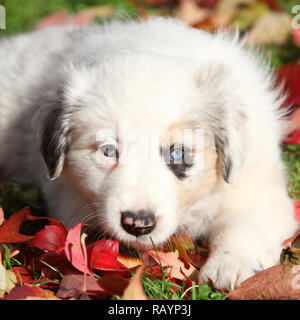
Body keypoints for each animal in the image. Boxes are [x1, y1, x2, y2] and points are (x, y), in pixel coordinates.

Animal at [0, 17, 298, 290]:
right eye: (109, 151)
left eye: (177, 154)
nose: (137, 223)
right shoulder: (68, 196)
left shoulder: (256, 187)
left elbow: (246, 225)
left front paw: (232, 266)